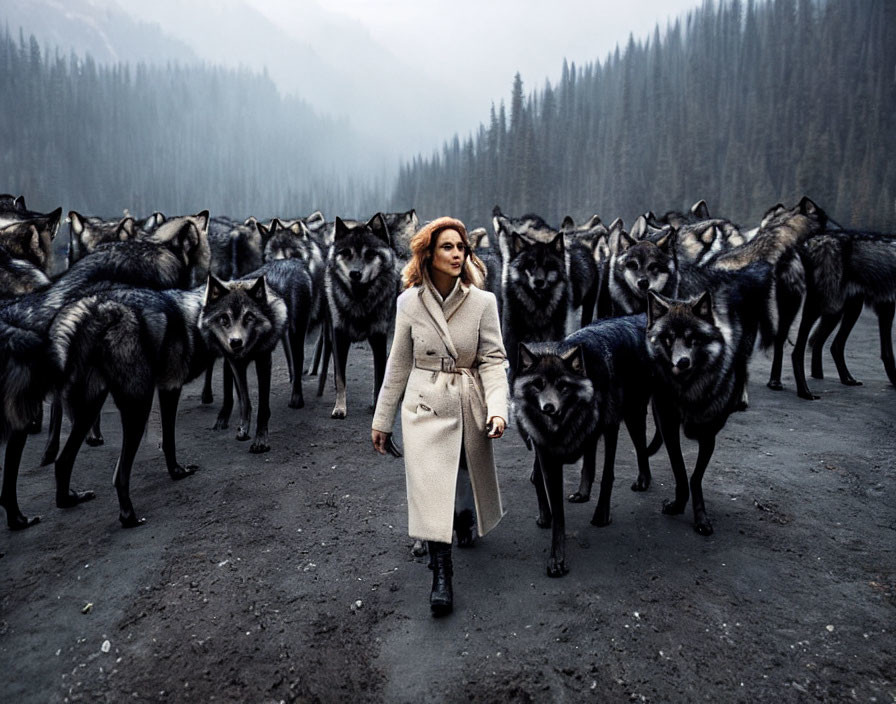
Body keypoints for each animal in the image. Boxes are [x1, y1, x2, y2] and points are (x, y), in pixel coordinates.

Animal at [320, 212, 394, 416]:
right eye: (346, 253)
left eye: (370, 254)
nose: (355, 273)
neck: (359, 301)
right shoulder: (339, 338)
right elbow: (340, 377)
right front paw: (339, 408)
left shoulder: (379, 338)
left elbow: (380, 377)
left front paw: (377, 407)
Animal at [516, 314, 656, 576]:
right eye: (538, 384)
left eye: (562, 386)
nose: (548, 408)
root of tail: (635, 317)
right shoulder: (546, 454)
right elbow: (556, 509)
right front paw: (556, 558)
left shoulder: (611, 428)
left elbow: (608, 475)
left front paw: (601, 514)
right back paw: (577, 495)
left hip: (632, 414)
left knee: (641, 447)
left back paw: (643, 480)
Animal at [648, 262, 772, 536]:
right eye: (668, 339)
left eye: (692, 339)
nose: (682, 362)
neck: (688, 391)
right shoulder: (669, 422)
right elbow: (680, 469)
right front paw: (678, 504)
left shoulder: (708, 434)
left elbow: (695, 477)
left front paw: (700, 517)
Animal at [792, 230, 896, 398]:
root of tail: (811, 242)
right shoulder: (887, 305)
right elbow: (888, 352)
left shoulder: (886, 304)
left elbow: (887, 351)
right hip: (827, 306)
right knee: (800, 350)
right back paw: (804, 391)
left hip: (841, 309)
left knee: (831, 344)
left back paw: (843, 379)